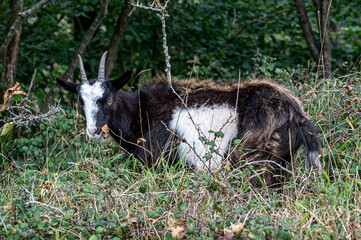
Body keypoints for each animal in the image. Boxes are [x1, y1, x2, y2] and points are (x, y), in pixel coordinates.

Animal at [57, 51, 322, 187]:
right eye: (81, 102)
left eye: (108, 99)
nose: (93, 131)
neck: (140, 114)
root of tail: (298, 116)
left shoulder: (157, 162)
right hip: (281, 162)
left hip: (256, 160)